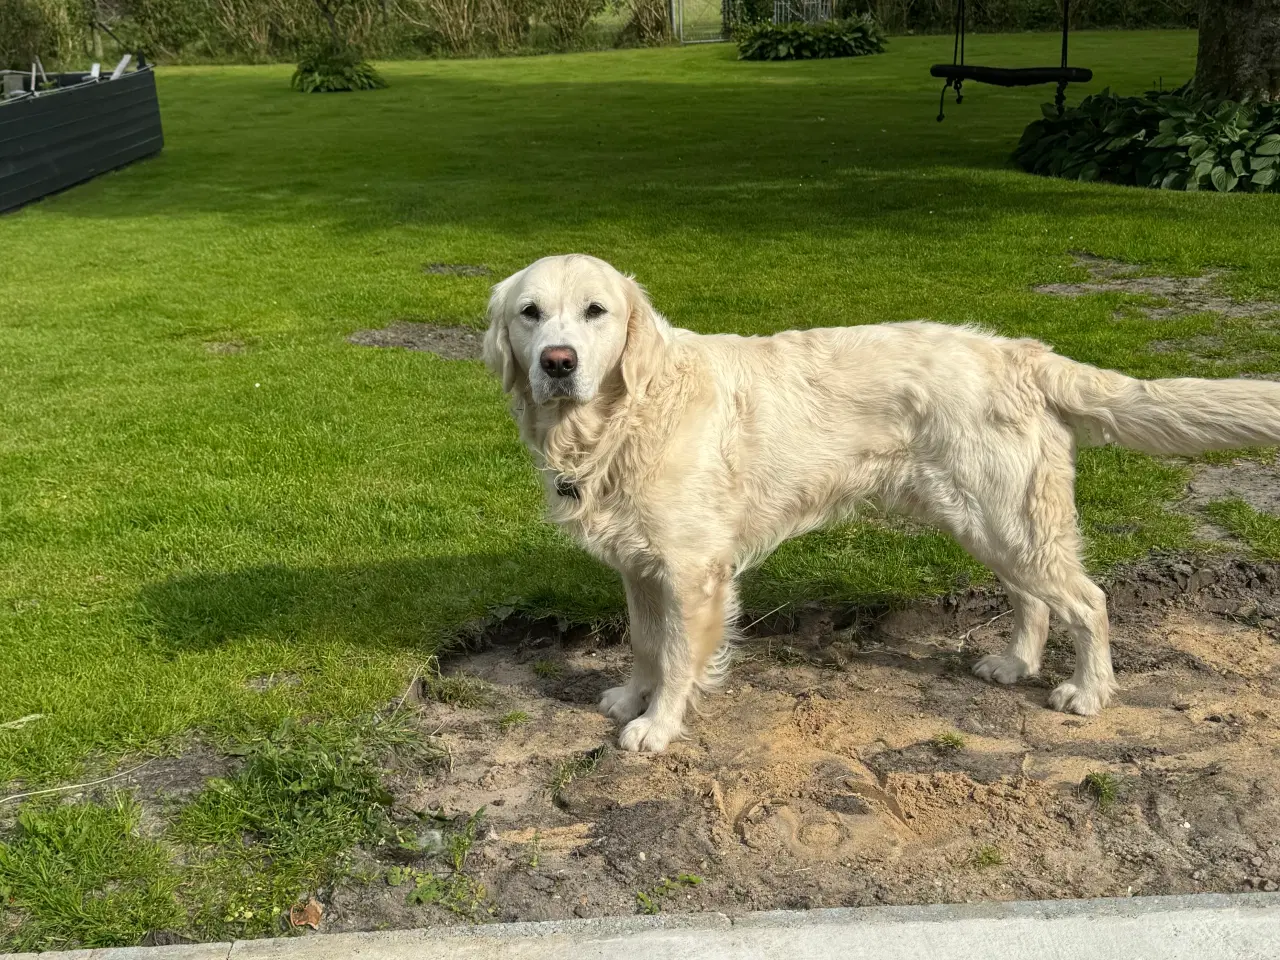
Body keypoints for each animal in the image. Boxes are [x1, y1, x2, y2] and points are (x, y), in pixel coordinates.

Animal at [481, 259, 1280, 757]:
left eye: (596, 312)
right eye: (530, 314)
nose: (557, 362)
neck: (625, 415)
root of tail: (1018, 352)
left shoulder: (690, 571)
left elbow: (679, 656)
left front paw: (658, 725)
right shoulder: (641, 567)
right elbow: (646, 643)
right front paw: (630, 696)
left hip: (1007, 520)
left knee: (1087, 601)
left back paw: (1088, 692)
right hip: (986, 520)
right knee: (1033, 600)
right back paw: (1014, 663)